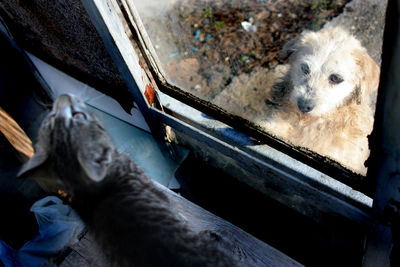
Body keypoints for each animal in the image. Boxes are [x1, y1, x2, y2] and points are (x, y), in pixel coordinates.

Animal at [18, 95, 236, 267]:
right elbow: (170, 205)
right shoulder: (152, 188)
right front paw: (181, 216)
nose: (63, 96)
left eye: (50, 120)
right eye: (78, 116)